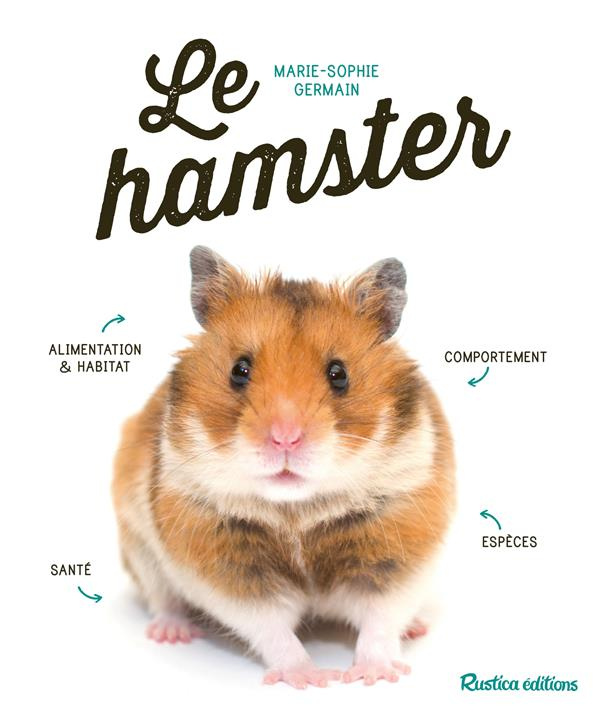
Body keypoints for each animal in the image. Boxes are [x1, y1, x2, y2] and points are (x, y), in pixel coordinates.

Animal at [113, 246, 455, 688]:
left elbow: (380, 619)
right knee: (162, 598)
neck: (298, 510)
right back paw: (172, 633)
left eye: (339, 374)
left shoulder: (398, 549)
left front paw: (374, 676)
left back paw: (416, 628)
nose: (285, 438)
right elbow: (272, 627)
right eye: (239, 370)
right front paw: (312, 678)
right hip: (138, 547)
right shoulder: (227, 565)